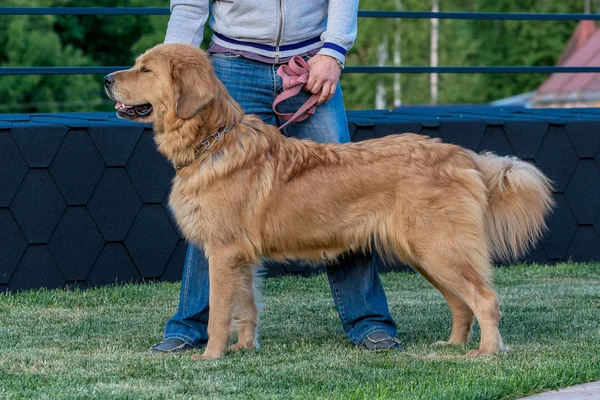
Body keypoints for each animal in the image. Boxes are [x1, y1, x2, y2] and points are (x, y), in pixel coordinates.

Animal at [103, 43, 552, 360]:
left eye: (145, 69)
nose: (107, 79)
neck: (213, 141)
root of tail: (461, 155)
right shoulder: (242, 258)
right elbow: (246, 309)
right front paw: (244, 350)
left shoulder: (223, 253)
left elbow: (218, 314)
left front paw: (212, 357)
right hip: (429, 255)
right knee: (462, 304)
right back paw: (454, 345)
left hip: (439, 250)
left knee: (486, 300)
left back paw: (486, 352)